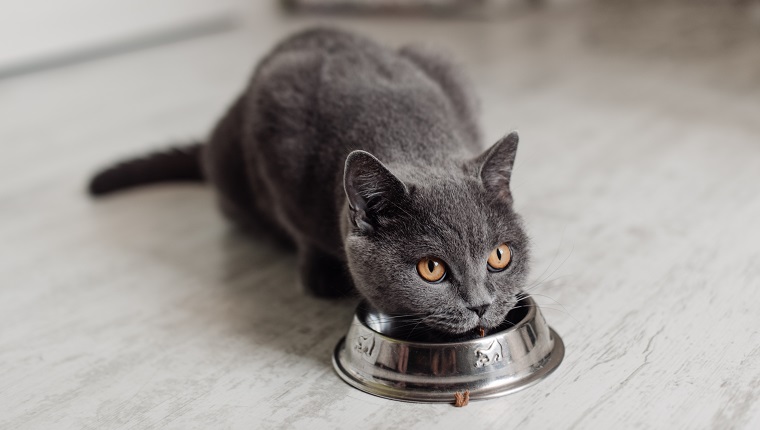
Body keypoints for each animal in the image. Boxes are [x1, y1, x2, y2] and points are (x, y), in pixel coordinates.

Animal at [89, 26, 528, 338]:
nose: (481, 305)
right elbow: (298, 227)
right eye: (431, 269)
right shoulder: (277, 122)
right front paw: (320, 275)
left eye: (499, 257)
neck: (409, 134)